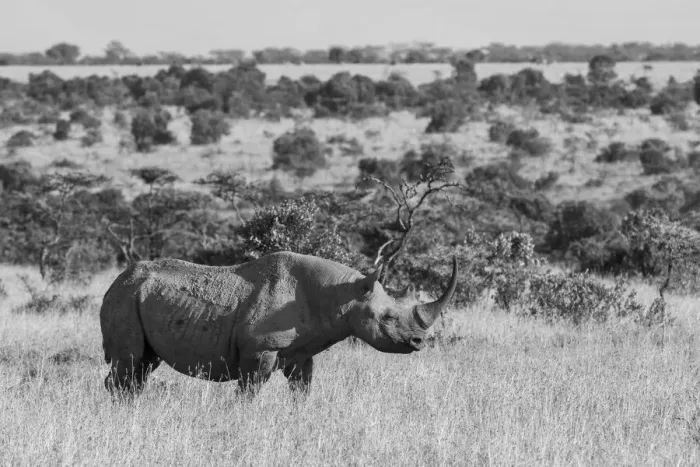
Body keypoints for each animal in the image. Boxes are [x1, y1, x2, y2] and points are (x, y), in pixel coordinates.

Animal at [100, 251, 458, 396]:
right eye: (387, 318)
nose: (418, 342)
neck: (341, 295)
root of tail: (115, 281)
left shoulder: (301, 352)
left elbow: (302, 390)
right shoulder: (261, 349)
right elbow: (248, 392)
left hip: (135, 297)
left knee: (142, 365)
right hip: (123, 298)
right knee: (129, 361)